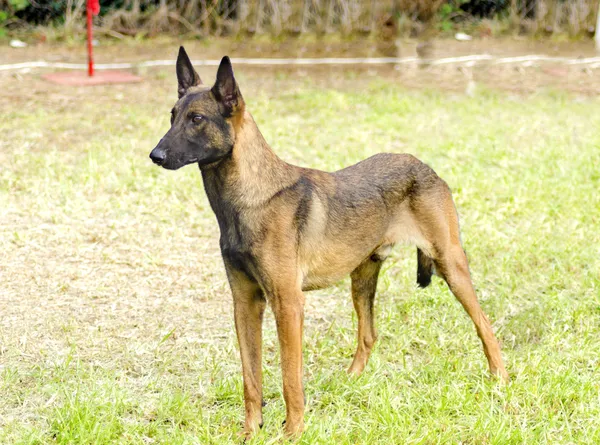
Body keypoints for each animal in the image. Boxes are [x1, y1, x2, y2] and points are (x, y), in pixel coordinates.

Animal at [149, 46, 506, 436]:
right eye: (172, 117)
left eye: (197, 118)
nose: (155, 156)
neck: (250, 197)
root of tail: (423, 166)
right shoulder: (244, 303)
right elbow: (251, 379)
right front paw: (250, 432)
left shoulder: (288, 304)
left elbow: (290, 378)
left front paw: (292, 432)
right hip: (361, 279)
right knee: (368, 335)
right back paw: (350, 381)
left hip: (450, 266)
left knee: (485, 325)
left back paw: (499, 379)